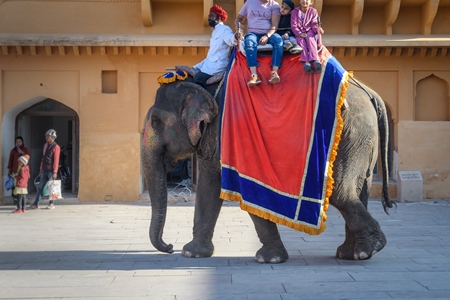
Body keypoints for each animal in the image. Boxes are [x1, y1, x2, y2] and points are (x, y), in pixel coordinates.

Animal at [142, 74, 392, 262]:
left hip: (353, 133)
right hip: (361, 139)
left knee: (341, 191)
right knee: (360, 188)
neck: (203, 86)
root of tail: (372, 94)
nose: (169, 246)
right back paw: (353, 253)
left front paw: (268, 259)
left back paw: (371, 247)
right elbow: (208, 185)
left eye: (155, 121)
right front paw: (192, 253)